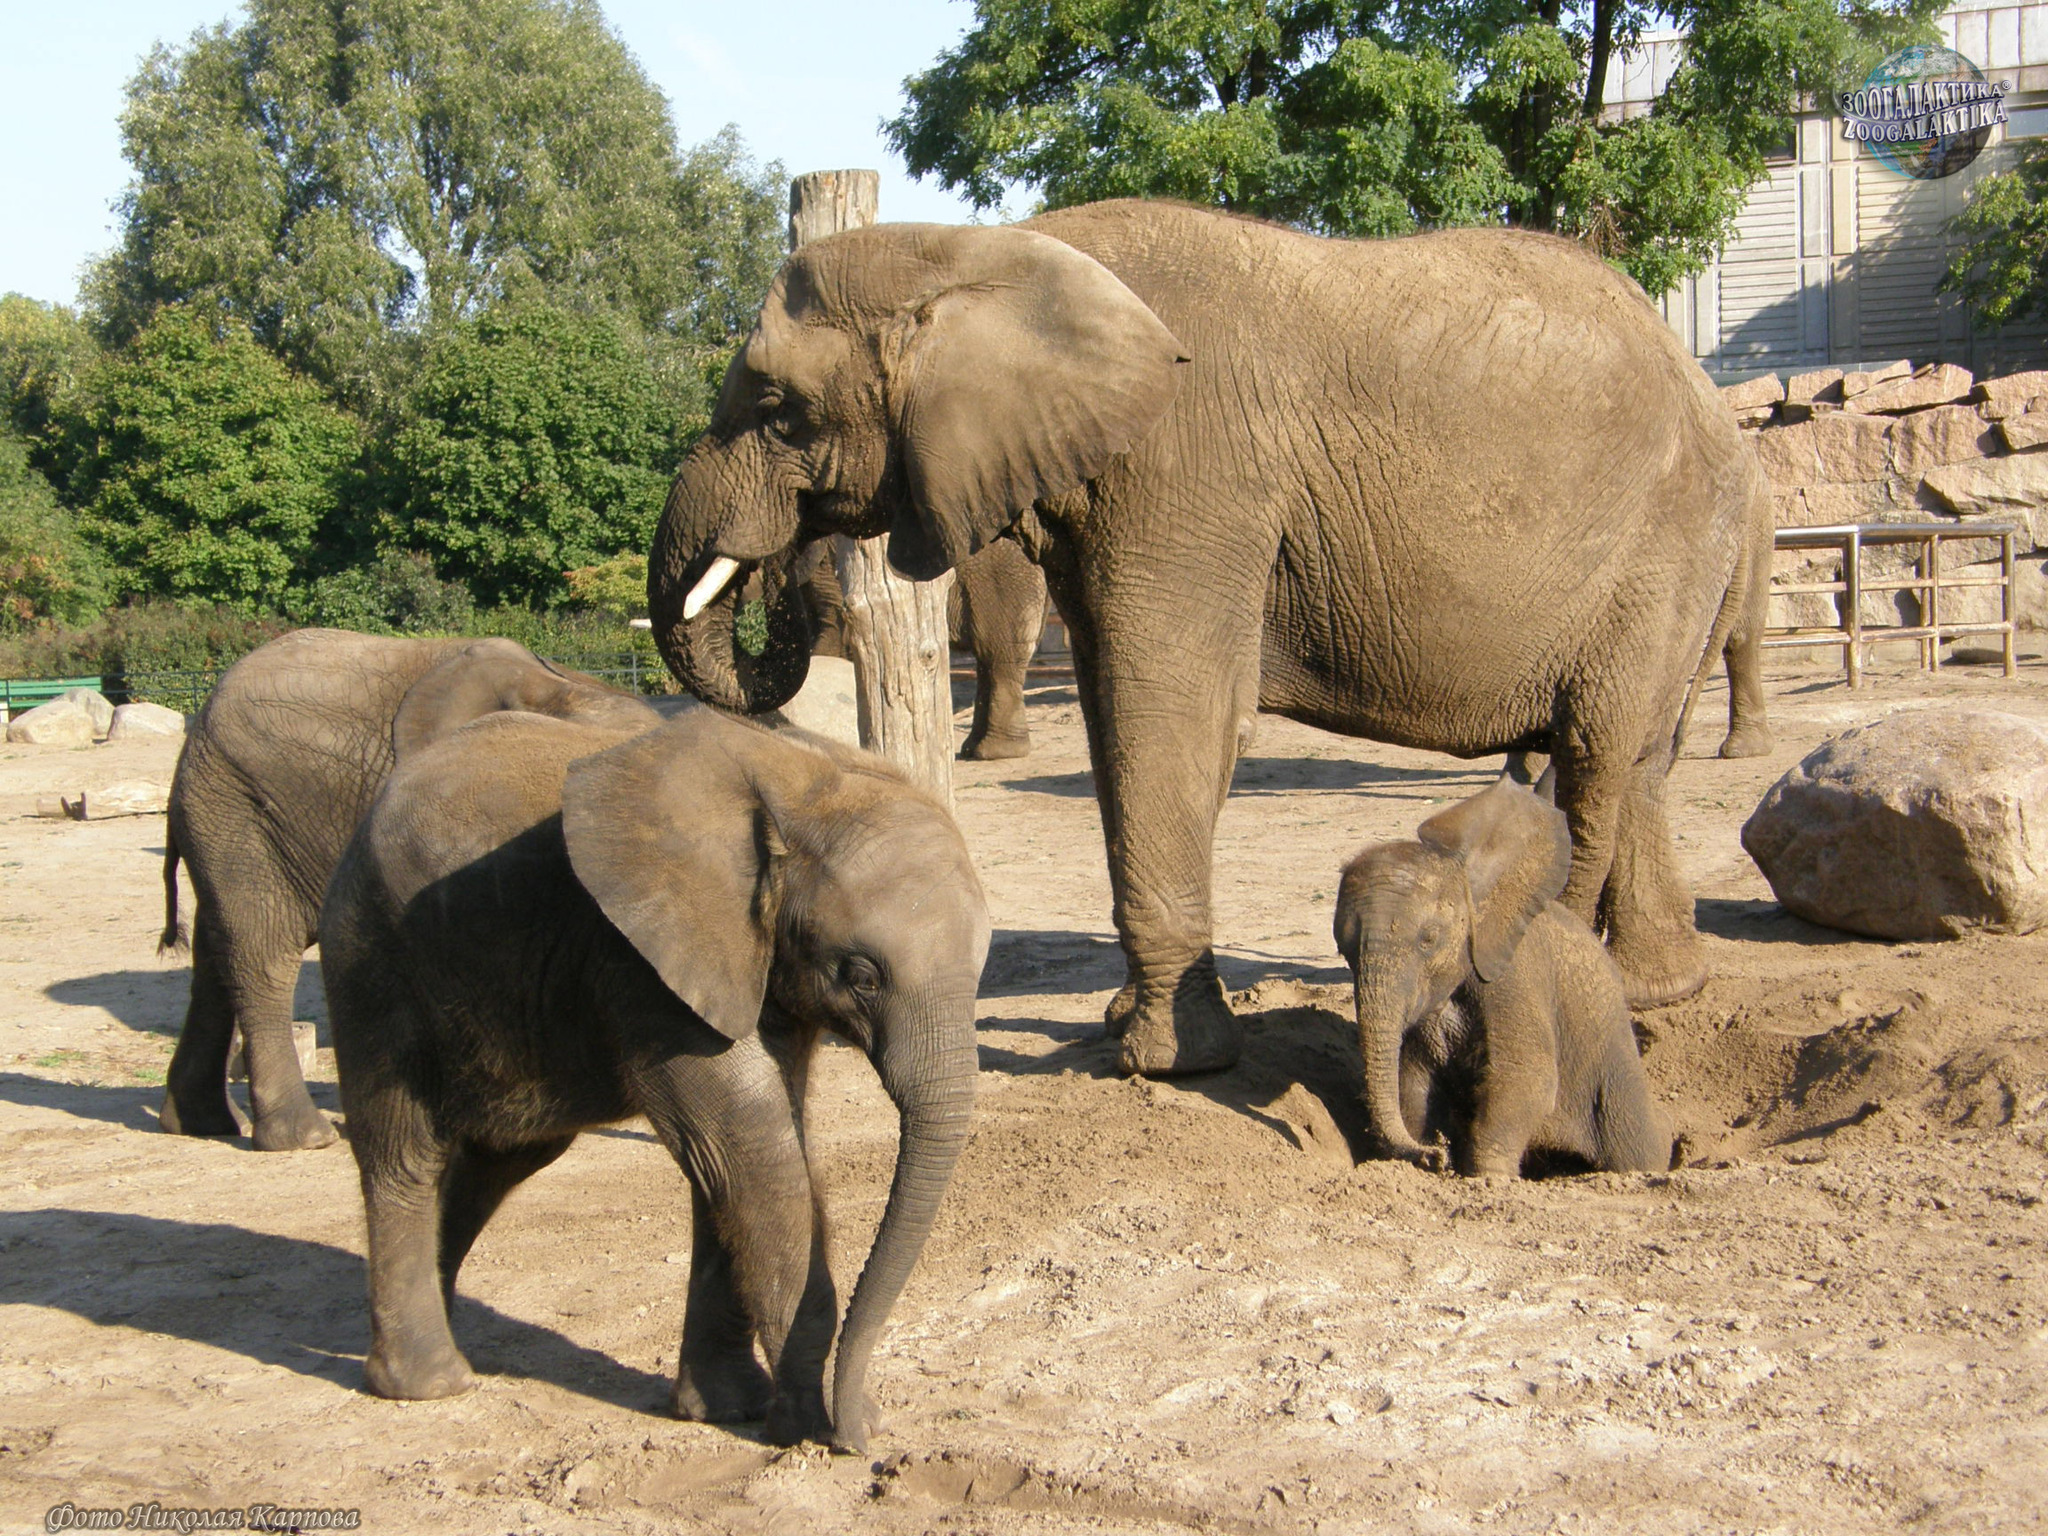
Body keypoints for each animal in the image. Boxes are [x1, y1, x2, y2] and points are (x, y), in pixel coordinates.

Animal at [161, 626, 655, 1155]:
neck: (563, 685)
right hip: (237, 811)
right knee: (261, 952)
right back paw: (304, 1137)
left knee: (214, 955)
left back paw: (198, 1122)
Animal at [321, 708, 991, 1458]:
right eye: (862, 975)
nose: (862, 1437)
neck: (802, 783)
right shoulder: (641, 959)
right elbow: (750, 1152)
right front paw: (808, 1426)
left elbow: (738, 1157)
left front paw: (727, 1409)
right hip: (370, 959)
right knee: (405, 1152)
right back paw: (428, 1383)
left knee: (503, 1155)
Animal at [651, 198, 1777, 1073]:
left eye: (777, 409)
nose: (792, 579)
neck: (986, 249)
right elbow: (1119, 713)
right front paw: (1123, 1027)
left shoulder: (1186, 470)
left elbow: (1167, 715)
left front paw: (1165, 1063)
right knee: (1643, 757)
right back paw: (1658, 993)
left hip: (1670, 537)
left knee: (1597, 756)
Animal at [1335, 782, 1671, 1179]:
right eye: (1343, 950)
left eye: (1428, 939)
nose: (1437, 1155)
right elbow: (1413, 1082)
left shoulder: (1515, 978)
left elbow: (1526, 1078)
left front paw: (1490, 1178)